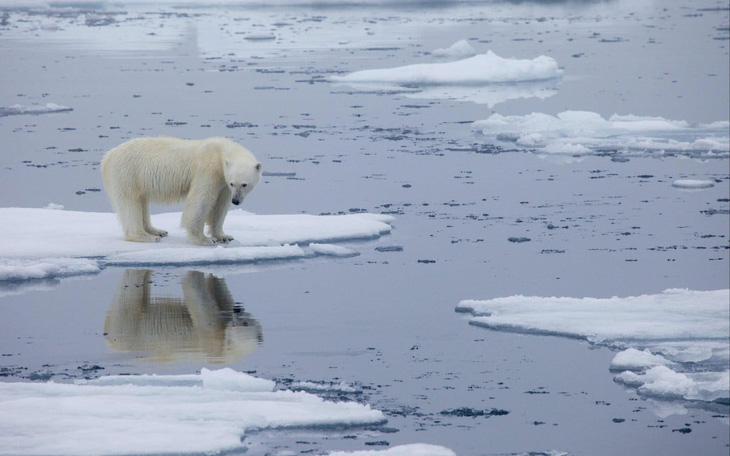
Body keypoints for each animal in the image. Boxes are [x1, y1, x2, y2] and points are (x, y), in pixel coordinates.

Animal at [101, 135, 260, 244]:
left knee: (142, 202)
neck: (219, 151)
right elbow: (200, 200)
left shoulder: (223, 182)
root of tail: (108, 156)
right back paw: (145, 236)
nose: (236, 201)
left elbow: (220, 206)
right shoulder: (207, 170)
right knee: (129, 203)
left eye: (244, 184)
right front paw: (205, 239)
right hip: (127, 173)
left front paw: (224, 236)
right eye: (234, 183)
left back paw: (157, 231)